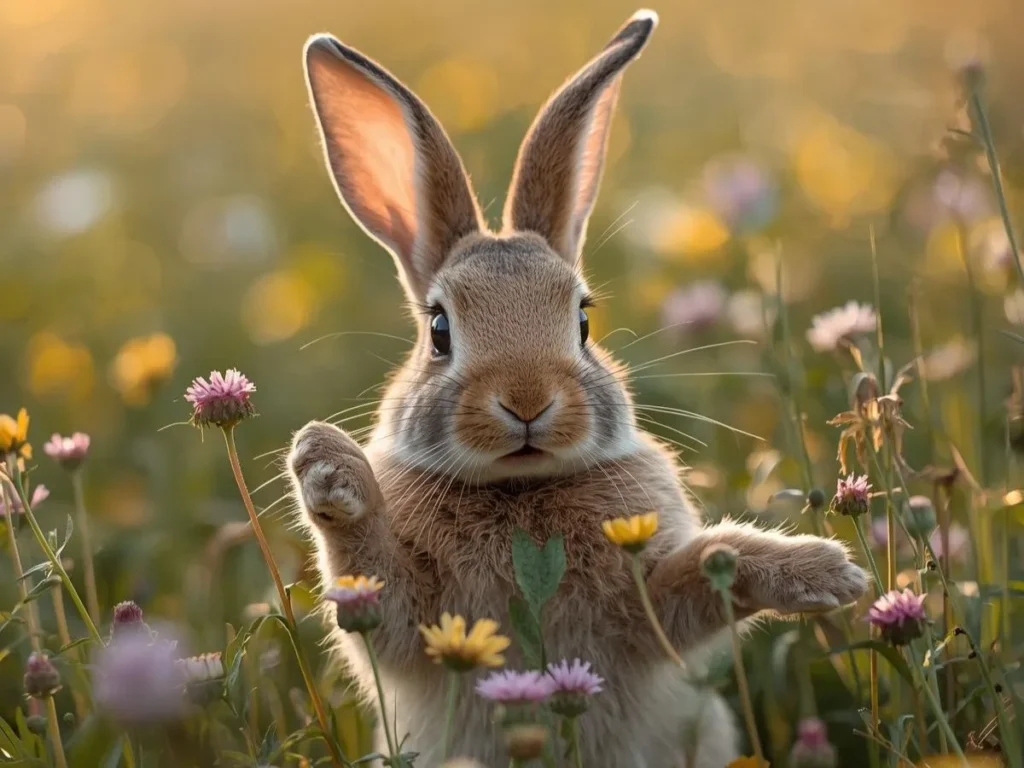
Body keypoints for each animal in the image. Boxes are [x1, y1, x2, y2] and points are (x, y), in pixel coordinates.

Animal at [291, 9, 868, 767]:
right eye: (439, 330)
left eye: (584, 320)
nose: (527, 401)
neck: (520, 490)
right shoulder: (415, 620)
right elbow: (374, 585)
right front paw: (328, 469)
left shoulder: (642, 606)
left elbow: (698, 574)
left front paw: (827, 574)